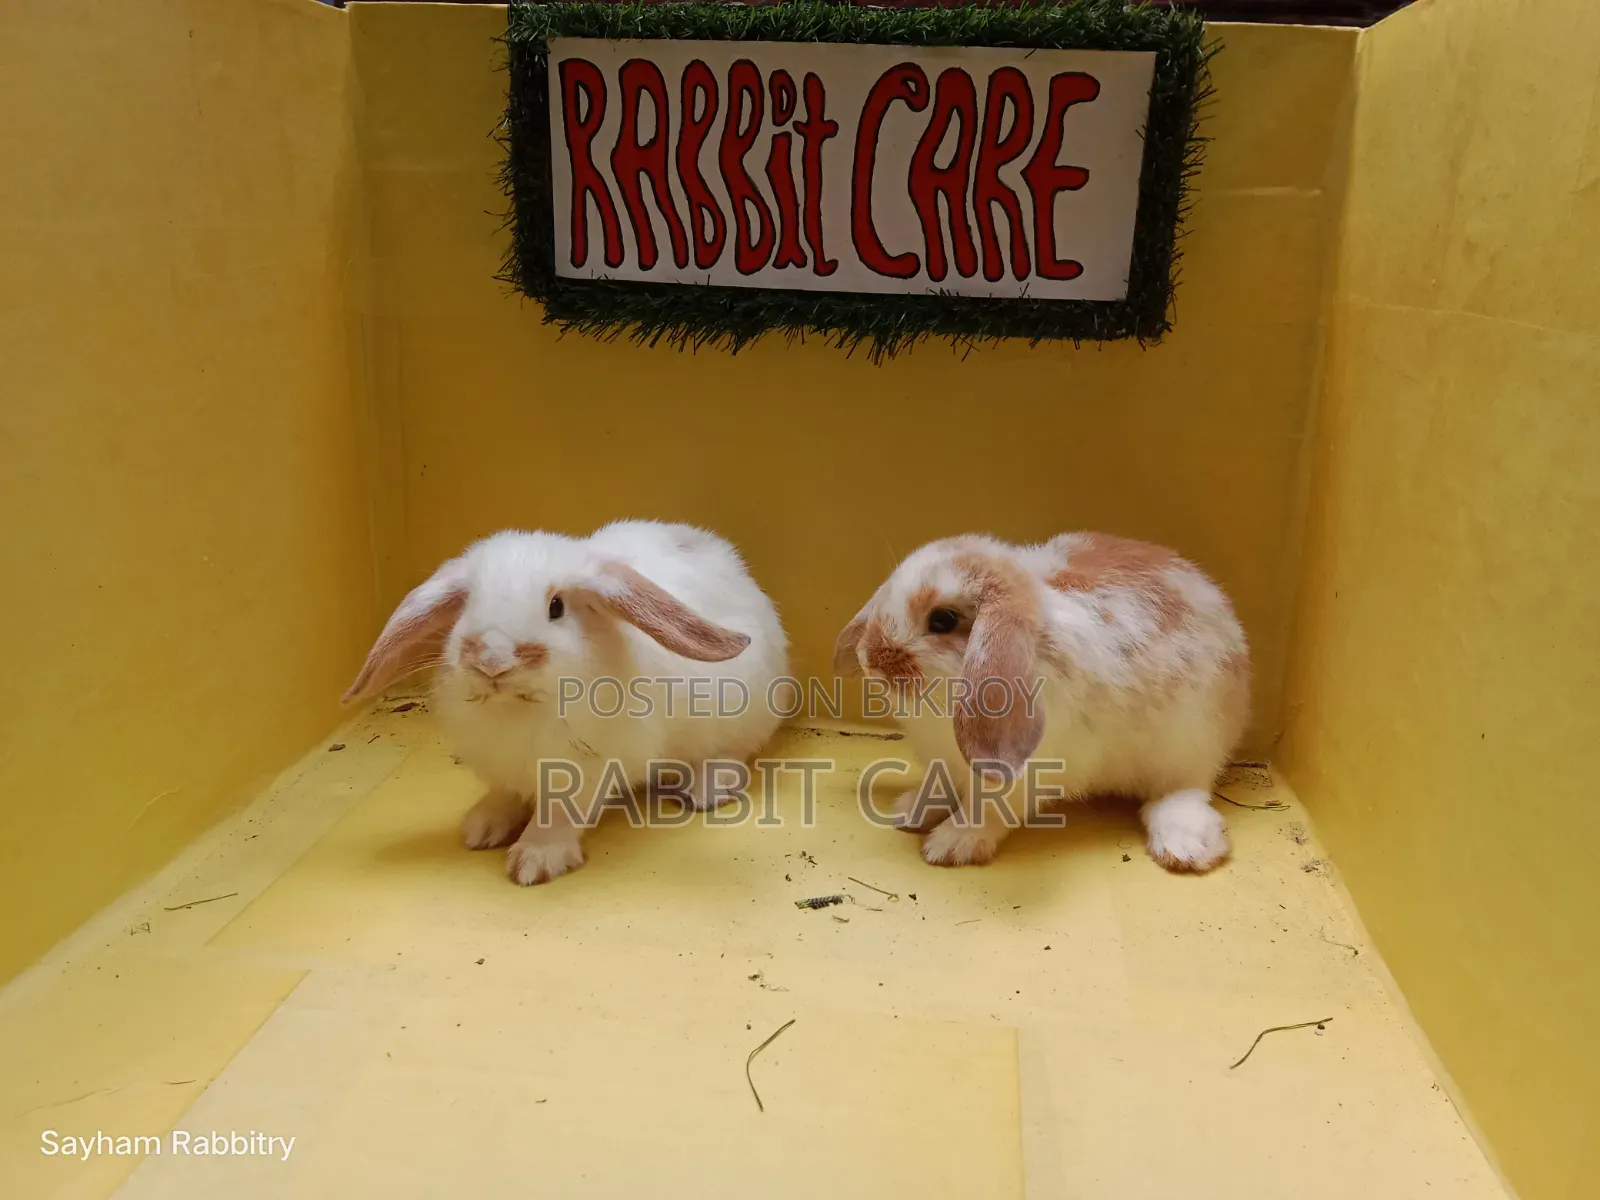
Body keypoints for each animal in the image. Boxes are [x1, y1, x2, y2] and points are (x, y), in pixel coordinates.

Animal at [342, 520, 789, 885]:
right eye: (467, 607)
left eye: (556, 607)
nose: (492, 661)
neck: (518, 706)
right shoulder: (504, 766)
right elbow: (505, 794)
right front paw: (481, 827)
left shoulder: (586, 769)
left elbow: (557, 814)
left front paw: (535, 861)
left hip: (735, 720)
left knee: (732, 756)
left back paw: (704, 791)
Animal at [833, 531, 1250, 873]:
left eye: (942, 620)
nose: (870, 657)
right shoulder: (947, 763)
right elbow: (942, 788)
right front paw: (910, 810)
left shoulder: (1016, 778)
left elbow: (986, 812)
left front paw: (950, 845)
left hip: (1186, 745)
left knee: (1185, 789)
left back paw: (1185, 847)